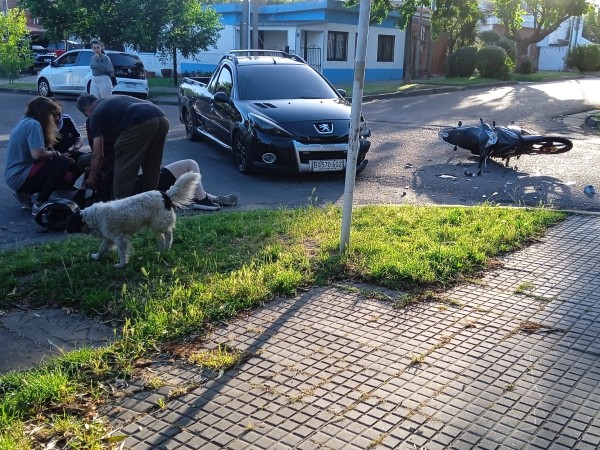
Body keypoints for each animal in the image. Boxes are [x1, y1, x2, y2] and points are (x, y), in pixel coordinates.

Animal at [66, 172, 199, 268]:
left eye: (69, 223)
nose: (66, 231)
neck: (92, 217)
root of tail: (165, 195)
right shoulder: (108, 239)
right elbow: (101, 249)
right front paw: (96, 257)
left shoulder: (120, 239)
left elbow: (122, 253)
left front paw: (121, 264)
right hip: (154, 226)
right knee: (161, 238)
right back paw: (162, 251)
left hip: (159, 224)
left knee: (169, 234)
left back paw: (168, 246)